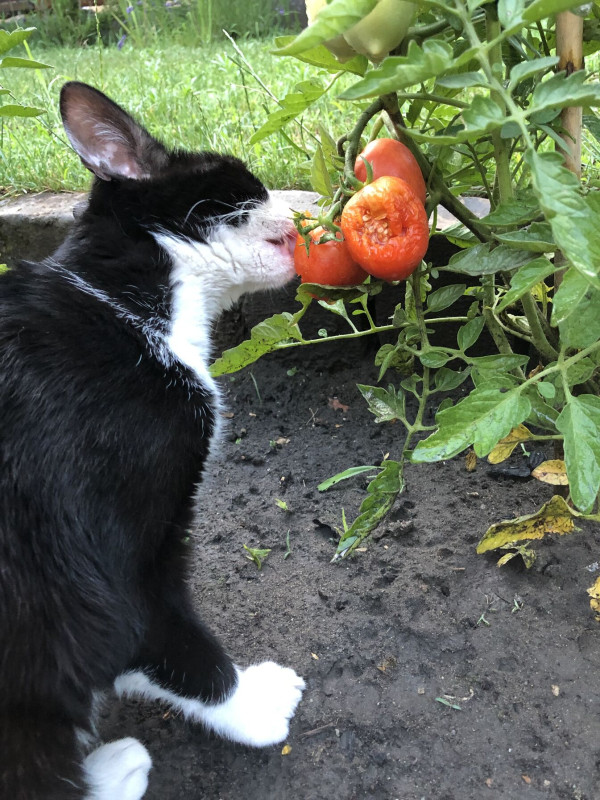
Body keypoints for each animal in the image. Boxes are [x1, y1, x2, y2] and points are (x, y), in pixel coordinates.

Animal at [0, 81, 305, 800]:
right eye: (246, 180)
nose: (305, 210)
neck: (123, 308)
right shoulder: (112, 561)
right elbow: (168, 637)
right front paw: (254, 706)